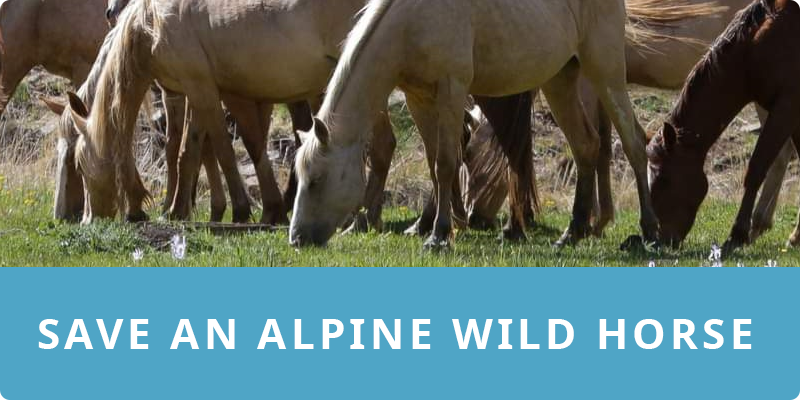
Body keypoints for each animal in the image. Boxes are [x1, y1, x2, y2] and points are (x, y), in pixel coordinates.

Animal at [291, 0, 659, 249]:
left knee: (634, 144)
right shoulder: (419, 99)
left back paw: (650, 233)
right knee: (586, 145)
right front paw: (437, 227)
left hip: (605, 71)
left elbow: (445, 163)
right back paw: (573, 232)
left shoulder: (452, 90)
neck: (410, 21)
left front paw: (439, 236)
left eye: (316, 180)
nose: (296, 238)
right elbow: (434, 163)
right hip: (560, 80)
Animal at [647, 0, 800, 251]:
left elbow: (756, 168)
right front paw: (797, 235)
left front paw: (737, 234)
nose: (662, 240)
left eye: (664, 179)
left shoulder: (786, 107)